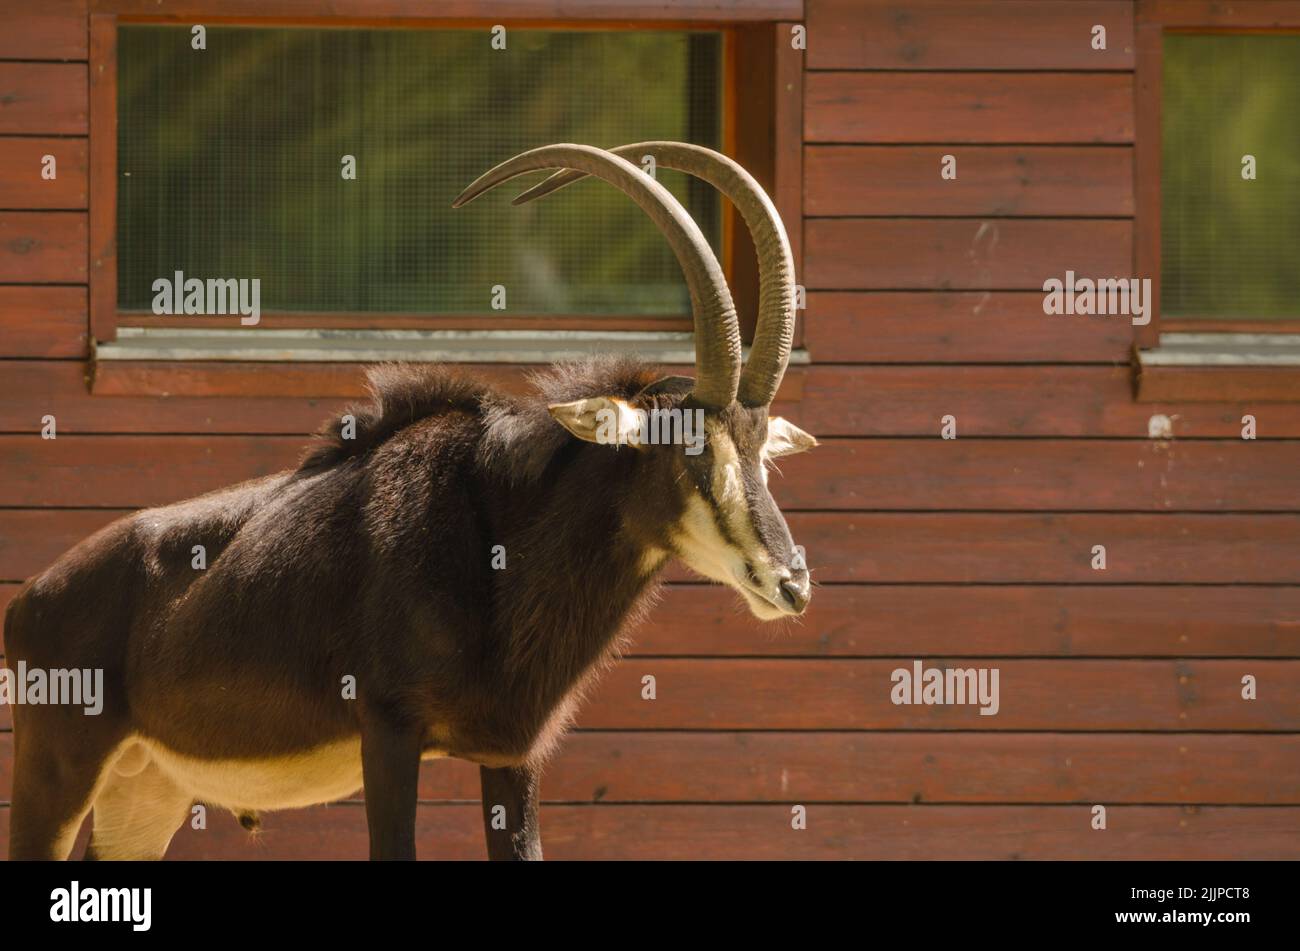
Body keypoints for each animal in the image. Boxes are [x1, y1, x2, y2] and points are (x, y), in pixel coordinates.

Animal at [3, 143, 816, 861]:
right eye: (692, 450)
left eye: (760, 451)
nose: (792, 584)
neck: (495, 539)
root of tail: (29, 602)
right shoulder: (388, 732)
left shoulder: (513, 754)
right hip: (57, 772)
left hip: (146, 792)